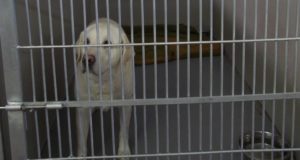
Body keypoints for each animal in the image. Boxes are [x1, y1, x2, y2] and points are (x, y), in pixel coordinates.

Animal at [75, 18, 134, 159]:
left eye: (107, 43)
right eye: (86, 41)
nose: (87, 59)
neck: (103, 80)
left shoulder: (126, 104)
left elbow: (123, 131)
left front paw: (123, 152)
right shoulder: (82, 108)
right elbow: (81, 139)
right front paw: (81, 156)